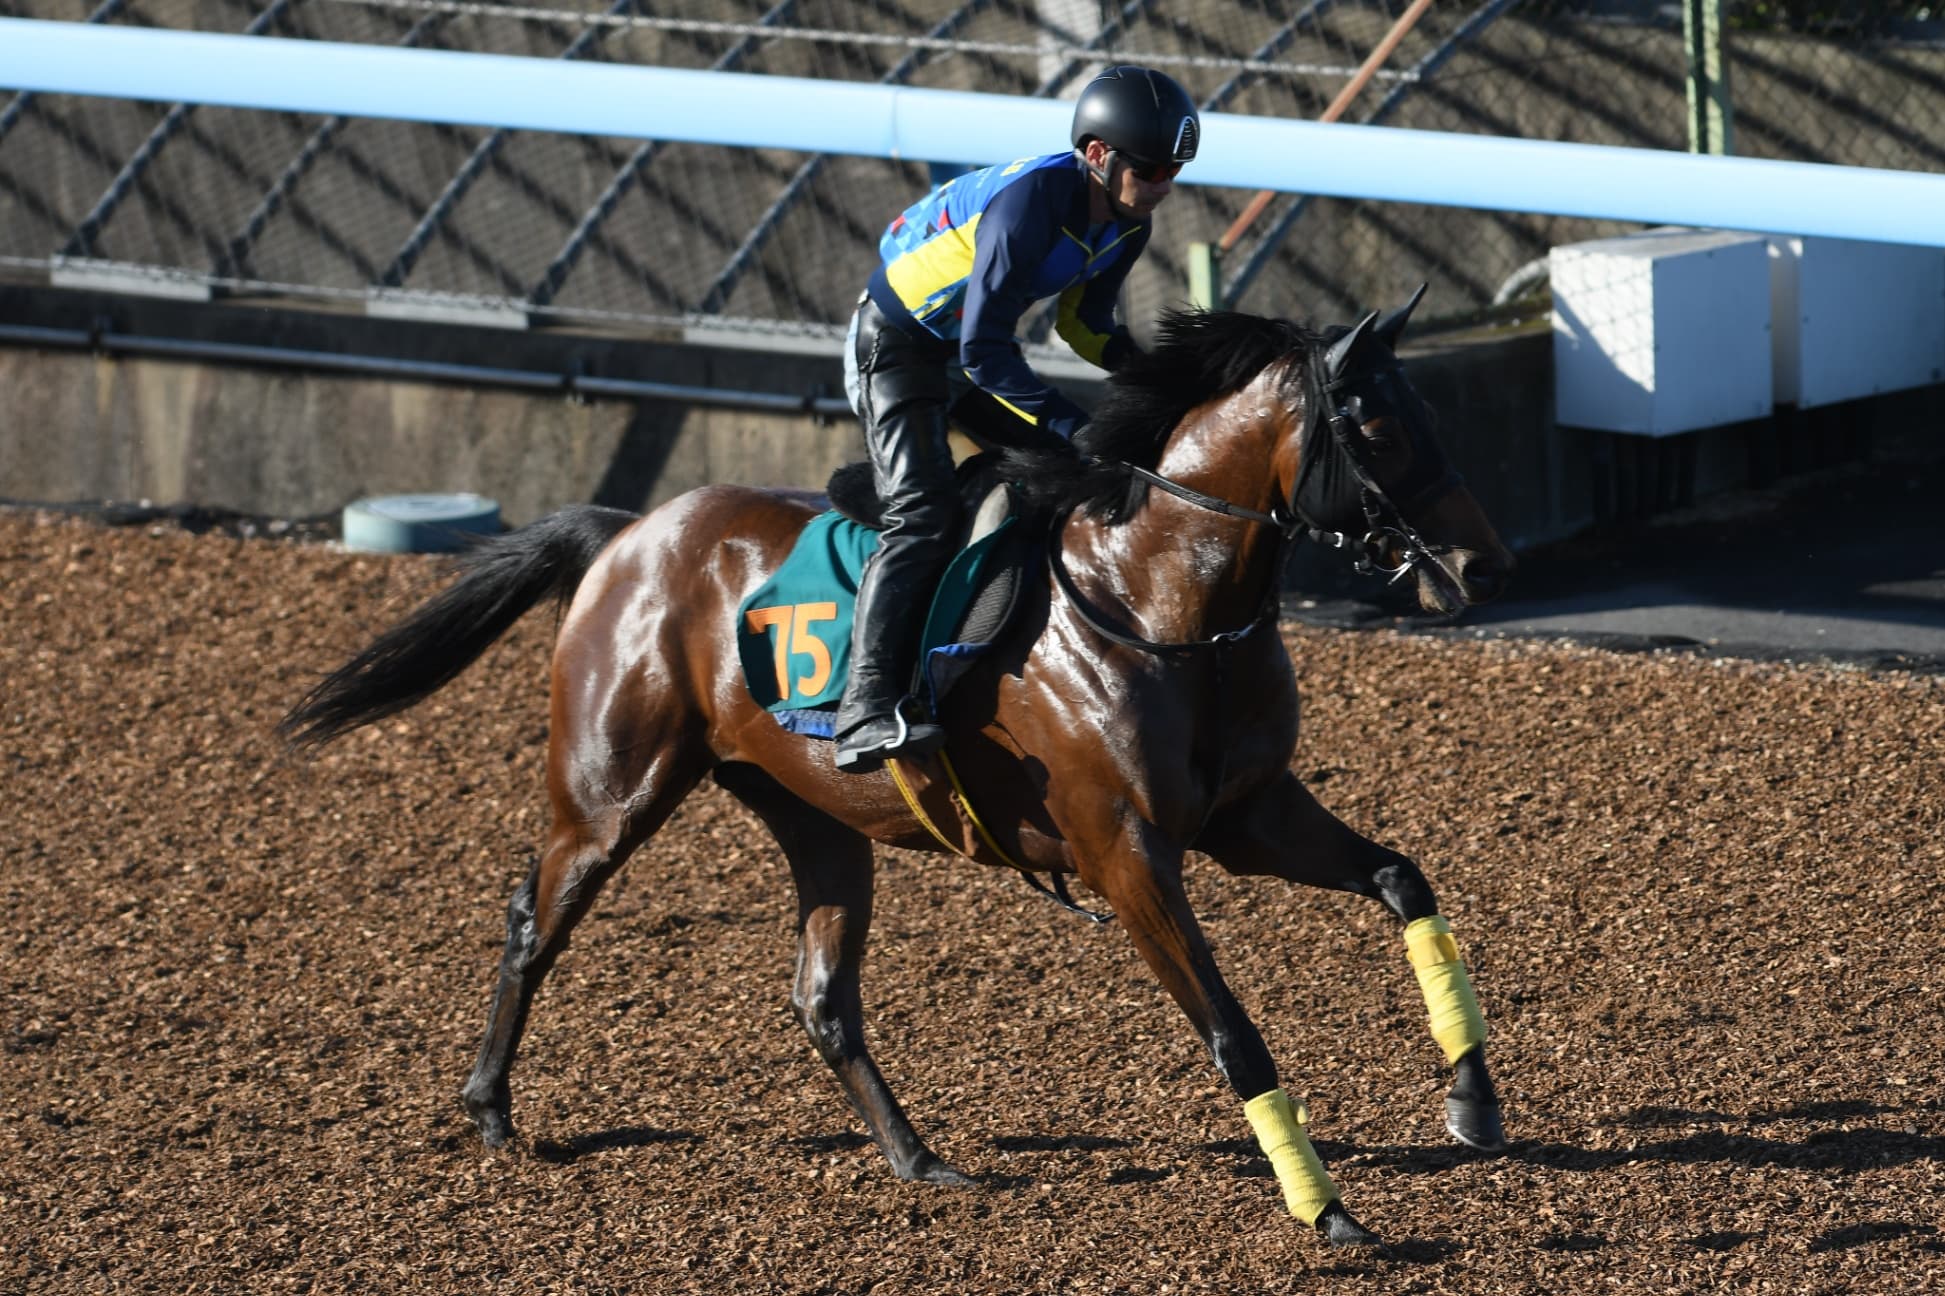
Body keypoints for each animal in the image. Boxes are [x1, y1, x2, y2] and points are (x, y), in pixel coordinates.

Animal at [281, 294, 1515, 1247]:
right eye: (1374, 423)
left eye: (1424, 412)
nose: (1482, 561)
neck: (1154, 599)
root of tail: (629, 534)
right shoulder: (1126, 853)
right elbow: (1231, 1029)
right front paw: (1329, 1211)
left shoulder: (1249, 816)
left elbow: (1404, 878)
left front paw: (1473, 1102)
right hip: (608, 795)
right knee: (534, 923)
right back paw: (489, 1108)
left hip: (818, 821)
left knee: (822, 999)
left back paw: (919, 1159)